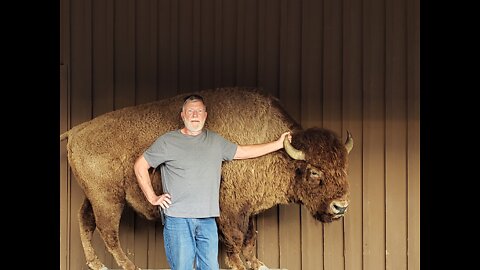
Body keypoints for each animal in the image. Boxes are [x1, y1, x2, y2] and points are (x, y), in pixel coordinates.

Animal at [59, 87, 352, 268]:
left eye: (344, 166)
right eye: (314, 171)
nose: (341, 206)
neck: (281, 154)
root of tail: (77, 130)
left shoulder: (248, 209)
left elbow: (250, 238)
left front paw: (257, 263)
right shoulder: (231, 210)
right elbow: (235, 239)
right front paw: (239, 265)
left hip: (94, 197)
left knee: (85, 221)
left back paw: (96, 264)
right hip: (108, 199)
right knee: (107, 230)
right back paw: (131, 266)